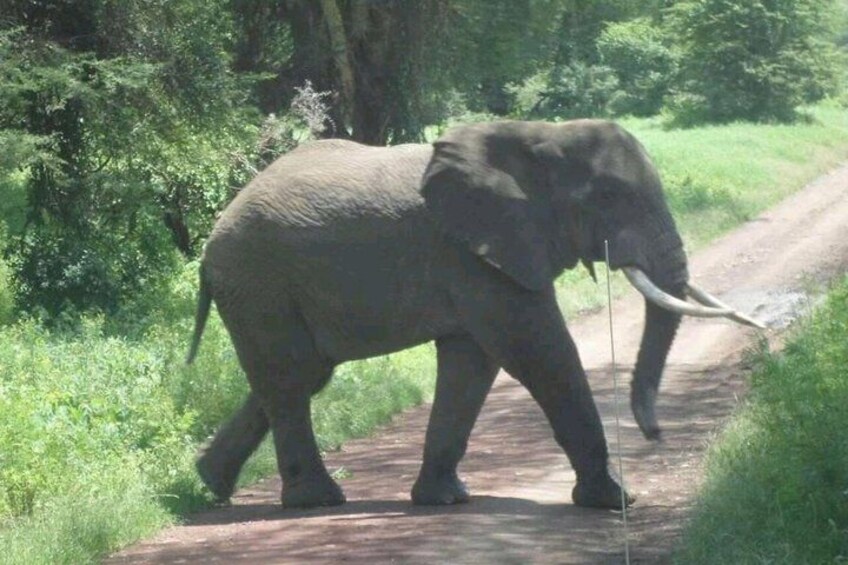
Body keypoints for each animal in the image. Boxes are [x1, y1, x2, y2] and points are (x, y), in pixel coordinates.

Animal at [186, 119, 761, 510]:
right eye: (607, 196)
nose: (655, 434)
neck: (540, 136)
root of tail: (212, 241)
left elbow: (473, 363)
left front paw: (444, 500)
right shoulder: (473, 253)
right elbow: (539, 350)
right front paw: (615, 501)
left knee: (300, 375)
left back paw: (210, 485)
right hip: (258, 280)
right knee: (290, 377)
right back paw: (317, 501)